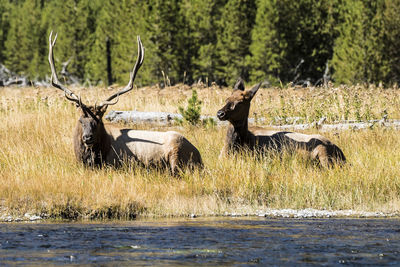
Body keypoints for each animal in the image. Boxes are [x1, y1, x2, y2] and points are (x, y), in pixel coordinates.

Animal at [47, 31, 203, 174]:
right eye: (81, 120)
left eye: (98, 121)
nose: (87, 137)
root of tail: (200, 156)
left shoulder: (116, 165)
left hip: (176, 155)